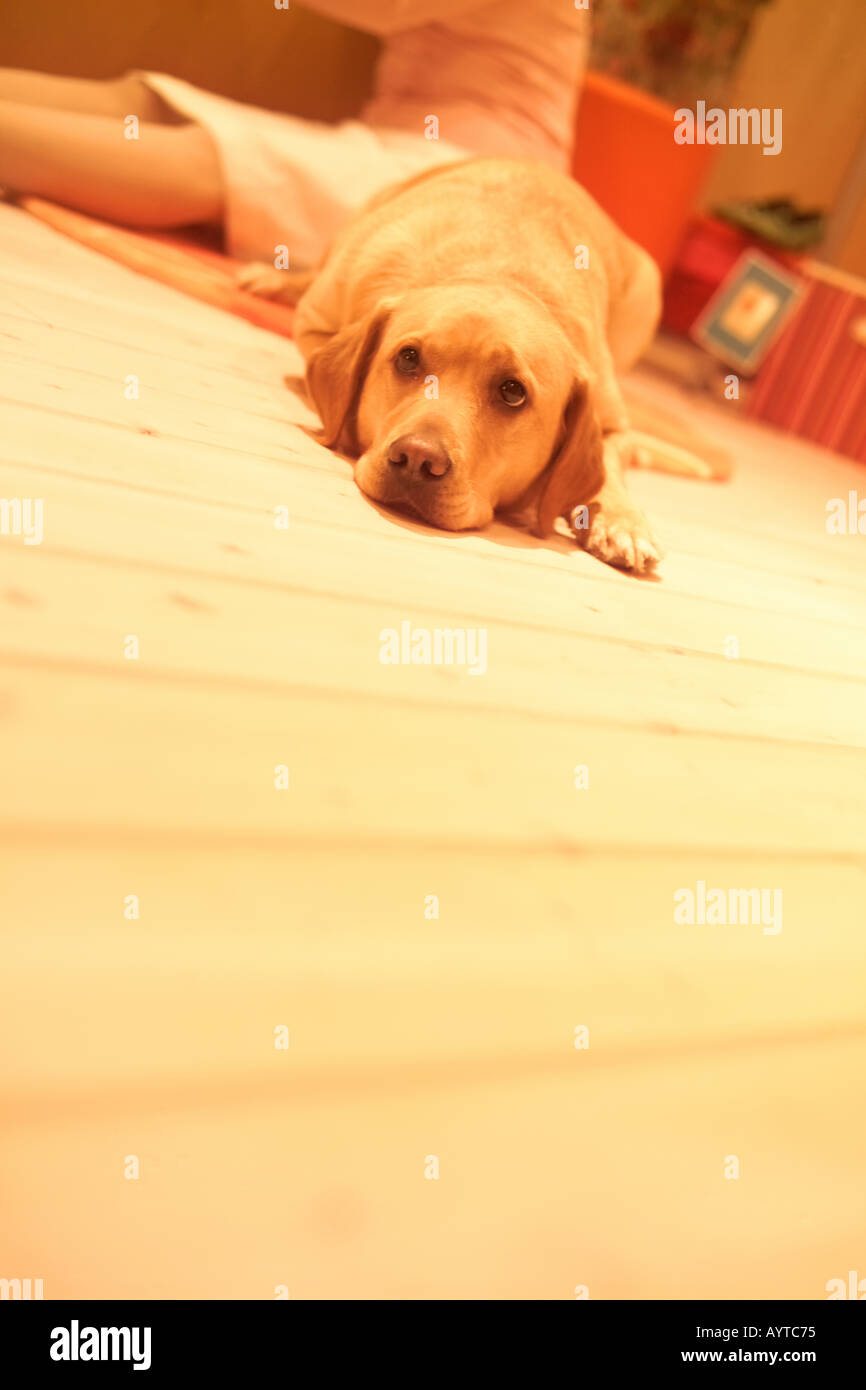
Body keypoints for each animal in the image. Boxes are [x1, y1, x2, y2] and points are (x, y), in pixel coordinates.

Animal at [280, 161, 667, 569]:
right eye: (407, 358)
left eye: (512, 392)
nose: (416, 458)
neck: (501, 271)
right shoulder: (315, 324)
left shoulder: (612, 421)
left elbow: (608, 464)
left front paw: (621, 521)